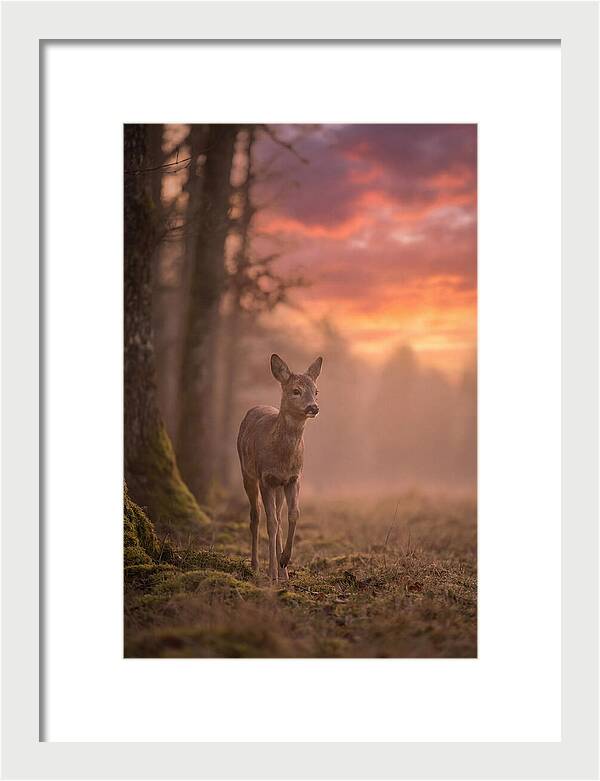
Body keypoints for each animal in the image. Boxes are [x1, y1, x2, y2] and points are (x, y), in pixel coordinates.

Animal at [237, 353, 323, 582]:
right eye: (296, 390)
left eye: (316, 391)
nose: (313, 407)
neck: (283, 458)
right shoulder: (266, 478)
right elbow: (271, 523)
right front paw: (271, 573)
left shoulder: (294, 478)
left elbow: (293, 515)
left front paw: (284, 560)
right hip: (247, 473)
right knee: (256, 515)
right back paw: (256, 565)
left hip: (279, 487)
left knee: (277, 515)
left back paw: (283, 571)